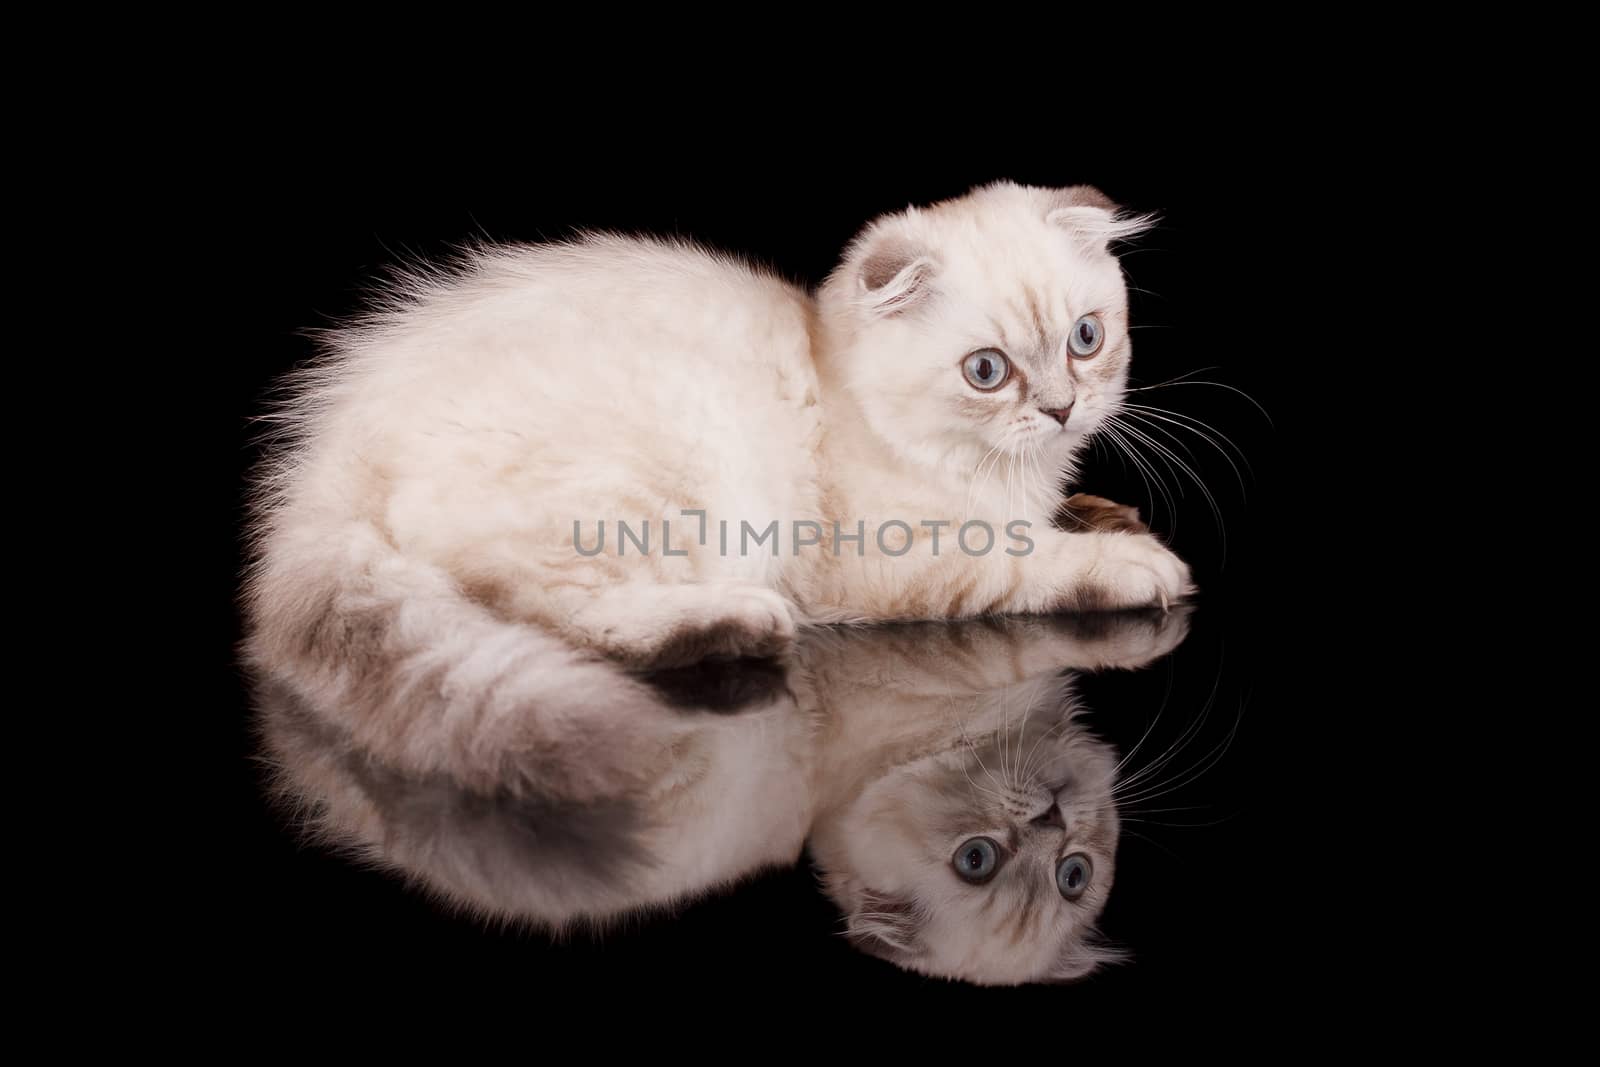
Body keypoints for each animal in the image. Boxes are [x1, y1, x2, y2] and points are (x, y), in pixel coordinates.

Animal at [246, 179, 1190, 793]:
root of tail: (332, 465)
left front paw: (1109, 515)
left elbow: (1062, 518)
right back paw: (735, 622)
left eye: (1086, 338)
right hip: (666, 468)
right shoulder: (886, 559)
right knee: (558, 612)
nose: (1063, 408)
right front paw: (1136, 563)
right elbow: (1027, 559)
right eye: (987, 371)